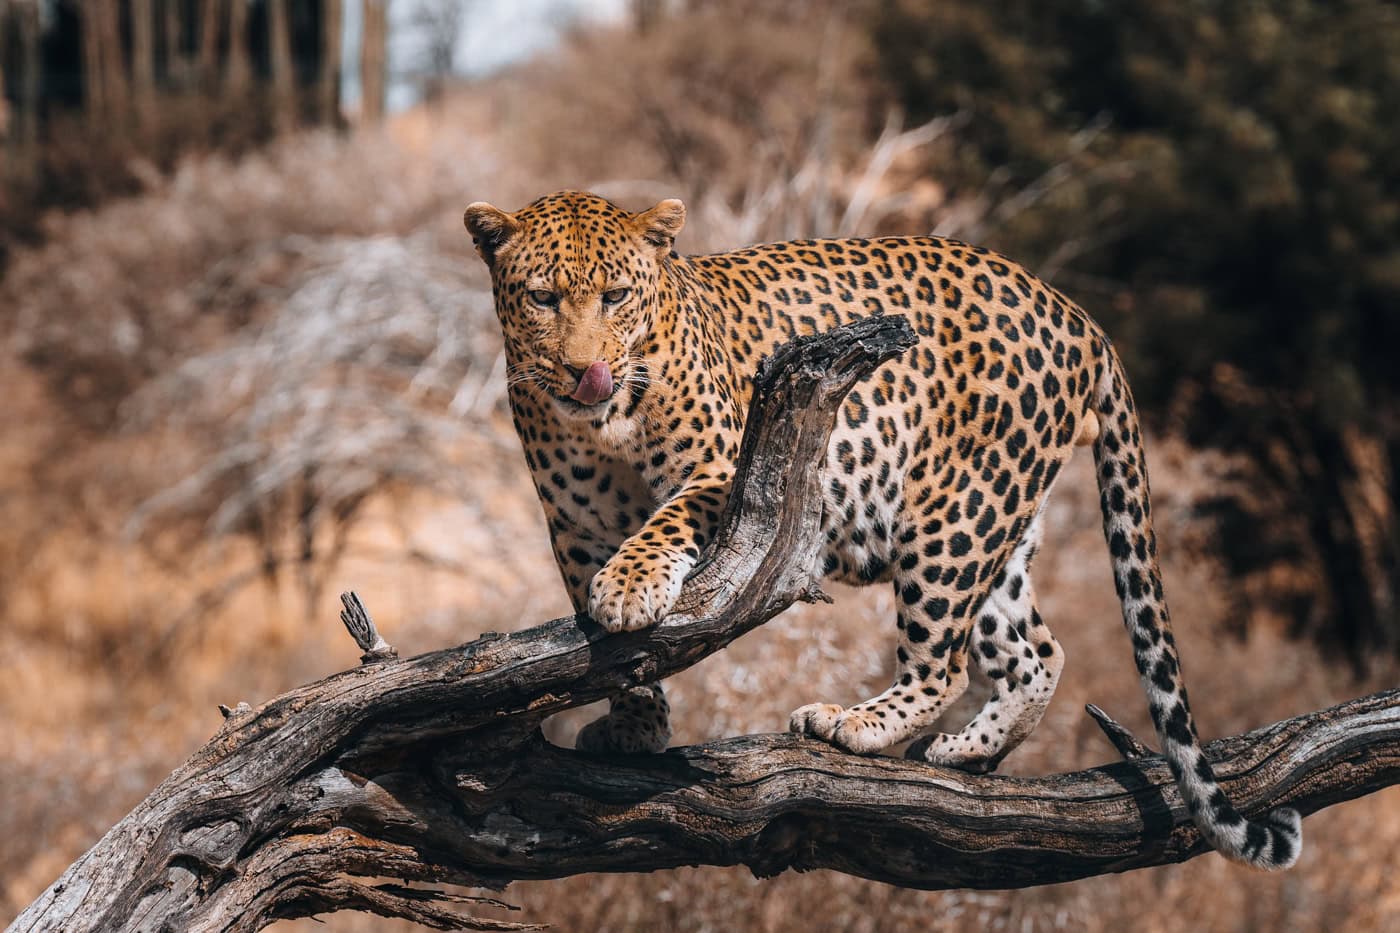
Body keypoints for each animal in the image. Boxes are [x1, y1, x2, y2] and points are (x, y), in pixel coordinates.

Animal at [463, 190, 1302, 870]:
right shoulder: (572, 528)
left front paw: (632, 588)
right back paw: (964, 748)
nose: (585, 372)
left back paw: (853, 724)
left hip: (951, 517)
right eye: (542, 298)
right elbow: (616, 653)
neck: (604, 426)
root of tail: (1074, 309)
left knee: (944, 663)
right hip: (998, 528)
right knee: (1038, 649)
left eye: (615, 296)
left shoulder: (726, 471)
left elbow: (660, 527)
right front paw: (634, 724)